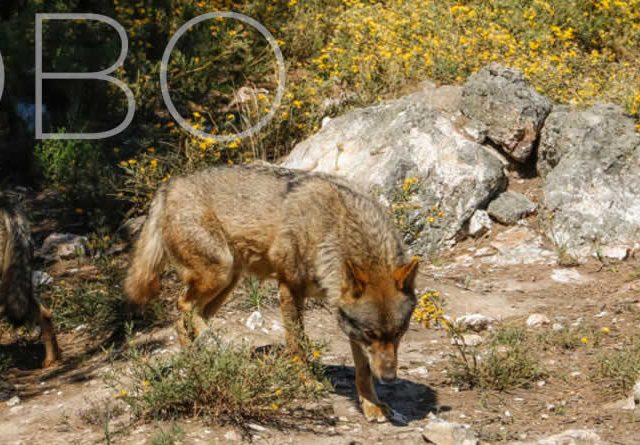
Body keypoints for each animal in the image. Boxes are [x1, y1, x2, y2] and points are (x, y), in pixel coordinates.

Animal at [125, 165, 419, 422]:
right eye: (371, 333)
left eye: (399, 333)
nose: (390, 377)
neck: (333, 227)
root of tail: (168, 185)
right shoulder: (290, 288)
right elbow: (298, 344)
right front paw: (307, 381)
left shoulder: (348, 322)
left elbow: (363, 370)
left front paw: (372, 405)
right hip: (220, 272)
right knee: (184, 307)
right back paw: (210, 349)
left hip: (227, 281)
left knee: (187, 318)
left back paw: (205, 357)